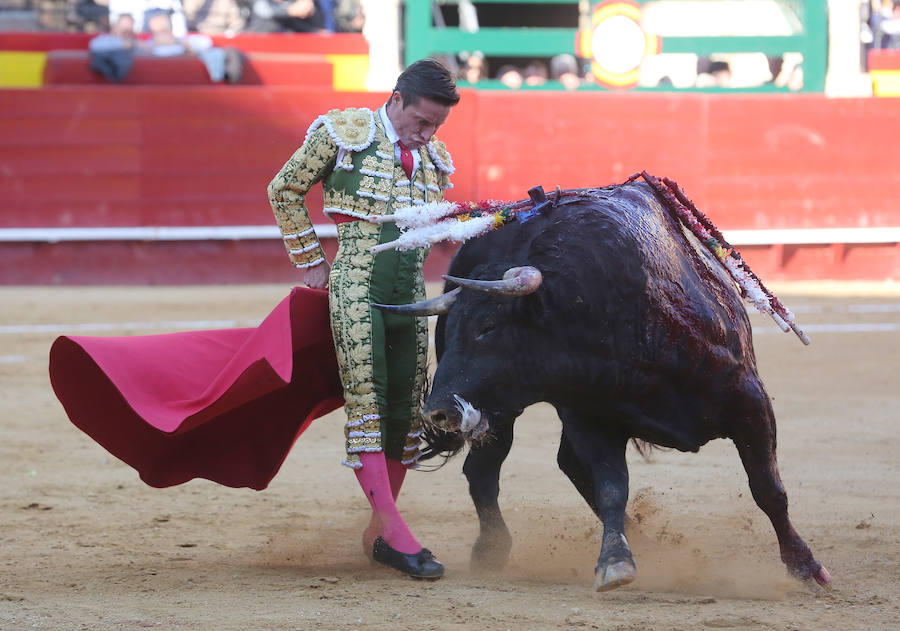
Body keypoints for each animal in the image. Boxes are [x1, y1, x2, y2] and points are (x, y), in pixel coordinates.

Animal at [372, 178, 828, 592]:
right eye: (448, 331)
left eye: (487, 327)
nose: (438, 410)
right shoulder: (589, 417)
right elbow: (611, 487)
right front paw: (615, 562)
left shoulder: (748, 399)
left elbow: (767, 487)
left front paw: (805, 565)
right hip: (502, 410)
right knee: (489, 470)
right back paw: (493, 549)